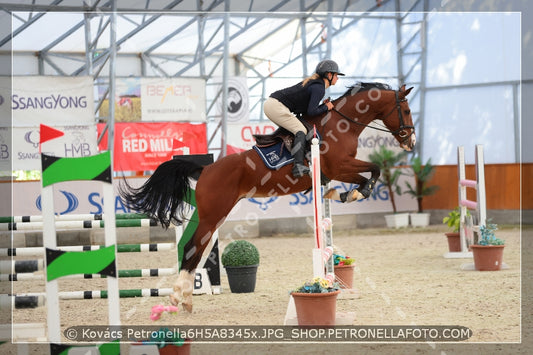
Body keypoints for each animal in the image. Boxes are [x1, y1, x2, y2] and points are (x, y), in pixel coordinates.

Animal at [120, 81, 416, 312]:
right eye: (407, 110)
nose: (410, 142)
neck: (341, 123)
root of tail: (206, 169)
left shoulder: (338, 169)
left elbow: (370, 172)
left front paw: (345, 193)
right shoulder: (339, 166)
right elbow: (374, 169)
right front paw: (354, 193)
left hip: (214, 216)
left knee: (196, 249)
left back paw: (185, 298)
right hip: (213, 214)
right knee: (193, 248)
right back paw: (180, 297)